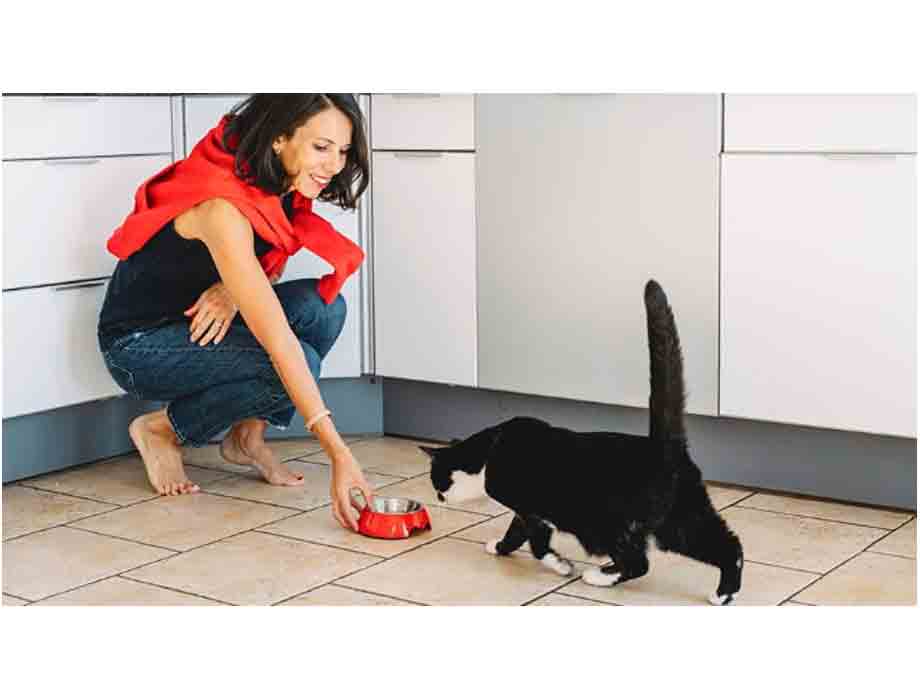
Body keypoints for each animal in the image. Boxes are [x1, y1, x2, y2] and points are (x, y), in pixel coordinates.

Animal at [420, 280, 743, 605]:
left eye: (437, 480)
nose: (438, 497)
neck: (489, 452)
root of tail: (665, 446)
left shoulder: (530, 509)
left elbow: (536, 545)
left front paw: (561, 565)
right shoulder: (527, 512)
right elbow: (515, 534)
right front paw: (499, 547)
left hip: (612, 522)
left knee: (638, 562)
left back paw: (598, 576)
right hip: (680, 521)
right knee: (729, 547)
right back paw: (723, 594)